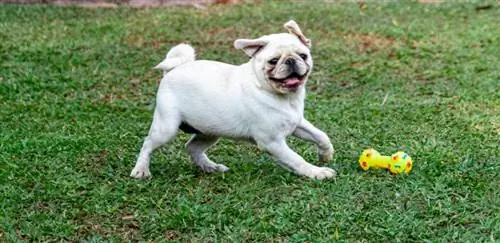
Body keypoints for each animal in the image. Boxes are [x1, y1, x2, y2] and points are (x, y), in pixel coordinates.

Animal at [131, 19, 336, 179]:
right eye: (273, 61)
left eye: (303, 55)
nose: (291, 60)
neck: (284, 97)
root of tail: (175, 69)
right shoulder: (272, 142)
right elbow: (296, 159)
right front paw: (316, 172)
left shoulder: (297, 123)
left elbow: (321, 136)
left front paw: (325, 155)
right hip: (167, 128)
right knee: (148, 144)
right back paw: (141, 171)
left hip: (209, 131)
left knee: (192, 147)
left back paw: (210, 167)